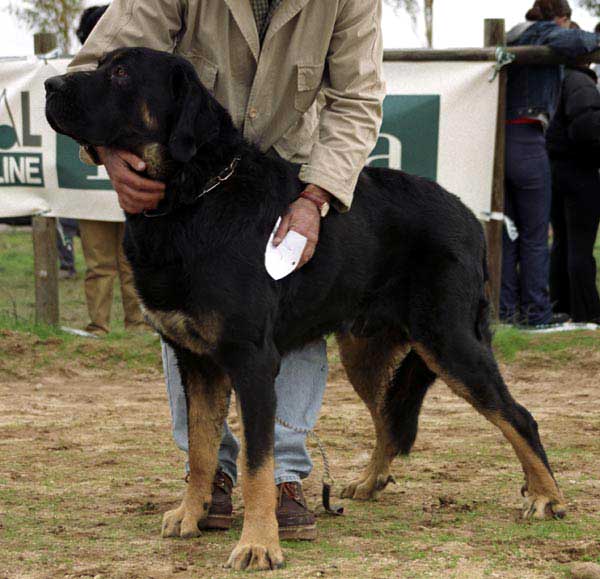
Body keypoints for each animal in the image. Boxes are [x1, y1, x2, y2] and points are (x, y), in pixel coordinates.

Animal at [44, 48, 564, 572]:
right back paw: (371, 481)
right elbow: (202, 448)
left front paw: (258, 544)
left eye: (121, 73)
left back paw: (546, 496)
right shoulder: (196, 362)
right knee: (389, 417)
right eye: (104, 64)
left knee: (517, 416)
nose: (49, 85)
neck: (194, 196)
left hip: (449, 340)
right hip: (364, 351)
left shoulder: (252, 361)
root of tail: (472, 218)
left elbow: (257, 463)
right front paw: (192, 515)